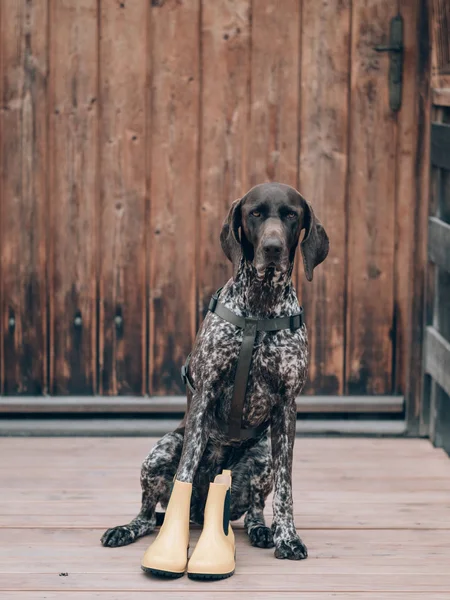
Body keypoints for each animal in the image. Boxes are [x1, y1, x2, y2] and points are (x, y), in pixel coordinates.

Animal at [101, 182, 326, 556]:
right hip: (161, 449)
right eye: (255, 213)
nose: (273, 248)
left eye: (291, 215)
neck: (259, 309)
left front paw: (288, 536)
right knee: (147, 514)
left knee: (255, 508)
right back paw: (126, 529)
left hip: (262, 456)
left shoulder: (286, 406)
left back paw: (262, 530)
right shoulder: (204, 393)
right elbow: (185, 471)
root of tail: (200, 512)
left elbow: (286, 486)